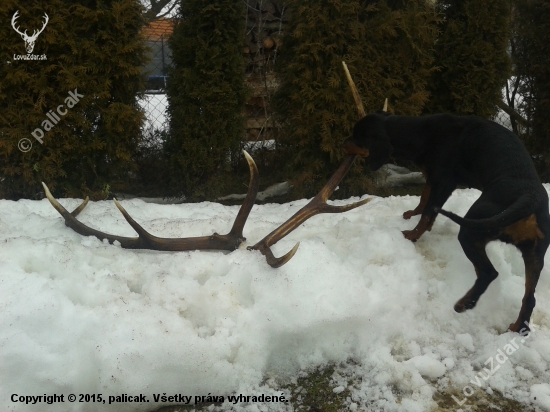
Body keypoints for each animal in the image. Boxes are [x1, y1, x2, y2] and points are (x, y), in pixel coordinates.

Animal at [344, 111, 550, 334]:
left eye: (357, 137)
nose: (343, 143)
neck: (420, 133)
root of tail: (529, 196)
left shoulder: (445, 181)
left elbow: (428, 210)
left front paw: (412, 234)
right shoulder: (433, 178)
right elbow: (424, 198)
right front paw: (413, 213)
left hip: (470, 230)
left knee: (489, 272)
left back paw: (464, 303)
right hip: (534, 255)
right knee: (529, 298)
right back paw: (517, 326)